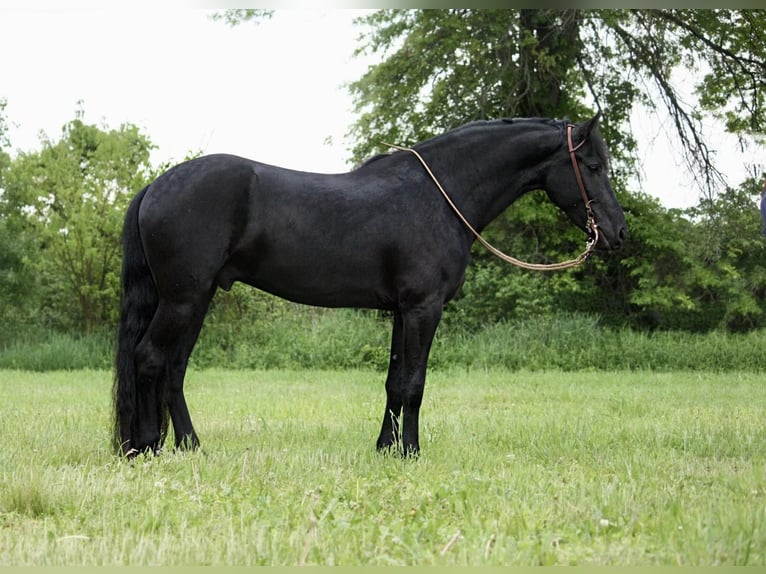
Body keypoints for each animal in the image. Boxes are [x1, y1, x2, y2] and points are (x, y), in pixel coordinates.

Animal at [113, 114, 627, 458]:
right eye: (593, 165)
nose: (618, 233)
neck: (439, 196)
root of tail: (155, 187)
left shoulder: (402, 310)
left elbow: (394, 382)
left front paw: (385, 448)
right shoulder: (424, 307)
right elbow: (415, 383)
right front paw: (410, 453)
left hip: (194, 300)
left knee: (173, 369)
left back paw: (188, 445)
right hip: (182, 299)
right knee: (150, 358)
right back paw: (145, 447)